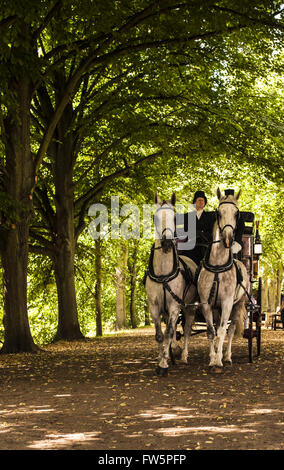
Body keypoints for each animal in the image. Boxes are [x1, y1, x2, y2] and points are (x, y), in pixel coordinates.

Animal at [145, 193, 196, 376]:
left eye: (174, 217)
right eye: (155, 217)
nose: (167, 243)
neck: (163, 274)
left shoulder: (175, 305)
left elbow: (168, 333)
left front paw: (163, 364)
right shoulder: (154, 306)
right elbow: (160, 335)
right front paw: (162, 358)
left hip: (190, 307)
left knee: (186, 329)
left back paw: (184, 355)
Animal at [197, 188, 248, 370]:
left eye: (236, 213)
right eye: (218, 213)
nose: (227, 239)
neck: (218, 266)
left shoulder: (227, 302)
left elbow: (222, 331)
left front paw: (218, 360)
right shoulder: (206, 303)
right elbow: (211, 331)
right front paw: (212, 358)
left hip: (237, 305)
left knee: (230, 330)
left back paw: (227, 356)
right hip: (217, 308)